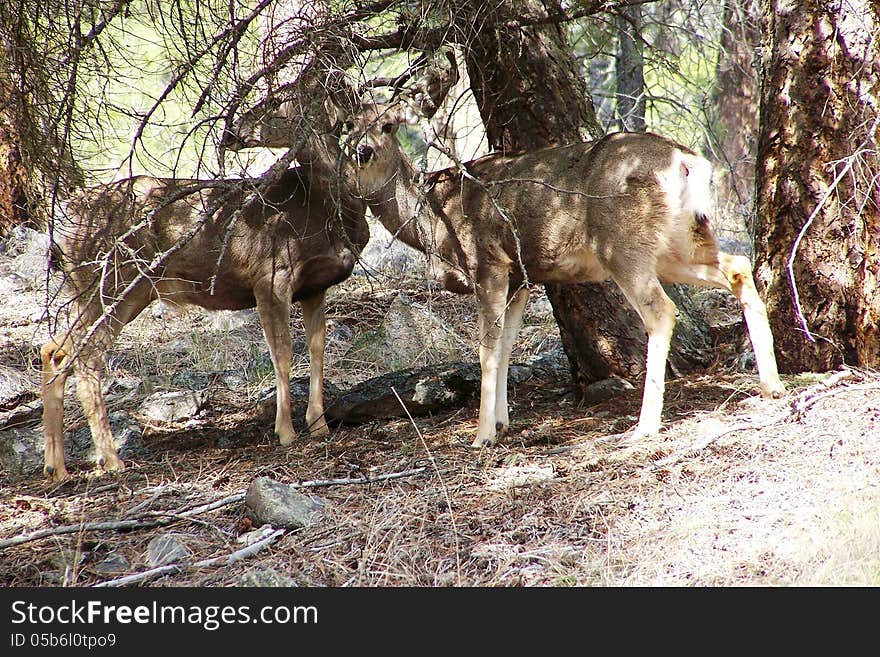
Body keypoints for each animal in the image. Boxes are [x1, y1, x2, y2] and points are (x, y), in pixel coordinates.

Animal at [41, 167, 368, 480]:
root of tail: (60, 231)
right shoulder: (270, 276)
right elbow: (282, 353)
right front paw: (286, 432)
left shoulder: (314, 289)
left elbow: (317, 348)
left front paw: (319, 425)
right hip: (111, 284)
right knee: (86, 356)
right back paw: (111, 460)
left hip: (116, 294)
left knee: (55, 350)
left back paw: (56, 468)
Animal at [336, 98, 784, 446]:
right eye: (349, 127)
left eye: (388, 125)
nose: (362, 151)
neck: (434, 217)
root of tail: (688, 162)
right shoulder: (520, 278)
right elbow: (507, 346)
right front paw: (502, 422)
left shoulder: (489, 263)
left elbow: (486, 350)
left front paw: (481, 435)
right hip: (680, 242)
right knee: (739, 267)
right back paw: (772, 386)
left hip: (624, 244)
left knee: (661, 311)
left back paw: (645, 427)